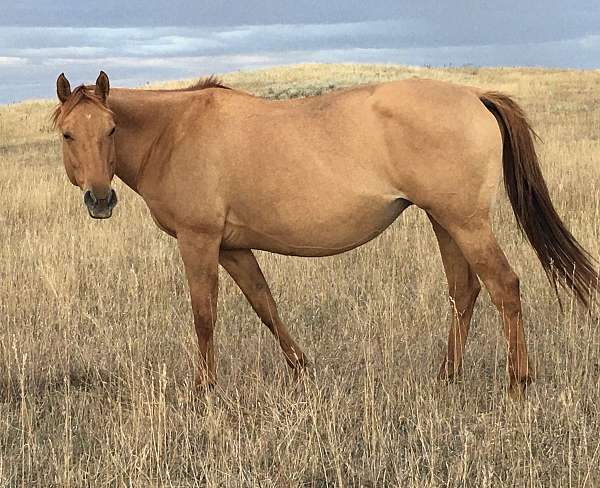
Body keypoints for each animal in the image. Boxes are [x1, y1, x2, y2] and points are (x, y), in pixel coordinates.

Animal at [54, 71, 596, 396]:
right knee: (464, 291)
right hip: (446, 222)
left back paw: (518, 381)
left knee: (505, 286)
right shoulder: (233, 247)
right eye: (67, 133)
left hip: (466, 222)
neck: (176, 132)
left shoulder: (200, 241)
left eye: (110, 130)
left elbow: (204, 315)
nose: (100, 199)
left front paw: (205, 388)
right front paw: (301, 368)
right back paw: (448, 375)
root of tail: (474, 95)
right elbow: (265, 304)